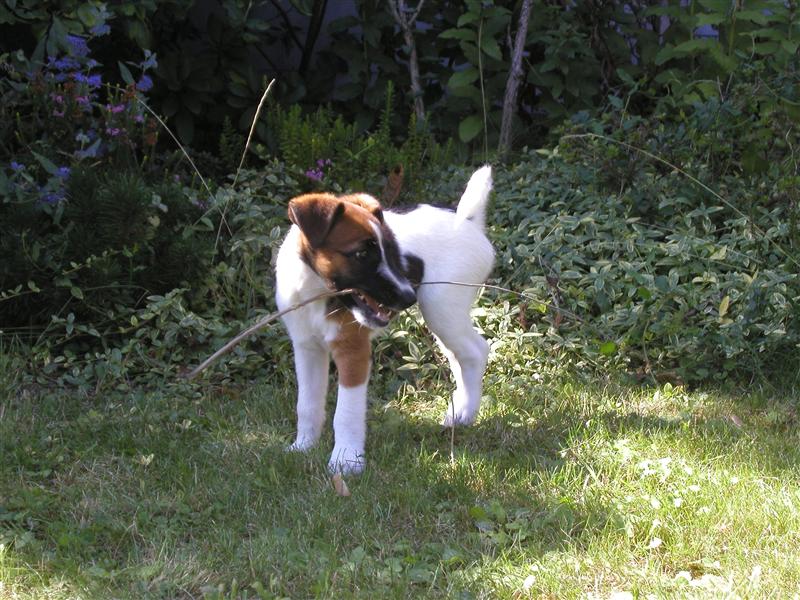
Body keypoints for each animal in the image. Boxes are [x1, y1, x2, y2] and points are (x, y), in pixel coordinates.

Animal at [275, 166, 494, 474]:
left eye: (392, 253)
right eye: (361, 254)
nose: (408, 296)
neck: (316, 292)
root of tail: (468, 222)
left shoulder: (353, 352)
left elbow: (346, 413)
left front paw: (346, 460)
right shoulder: (307, 349)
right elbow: (307, 404)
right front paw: (303, 447)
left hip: (441, 309)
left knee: (475, 351)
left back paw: (466, 413)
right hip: (445, 317)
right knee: (460, 356)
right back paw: (459, 411)